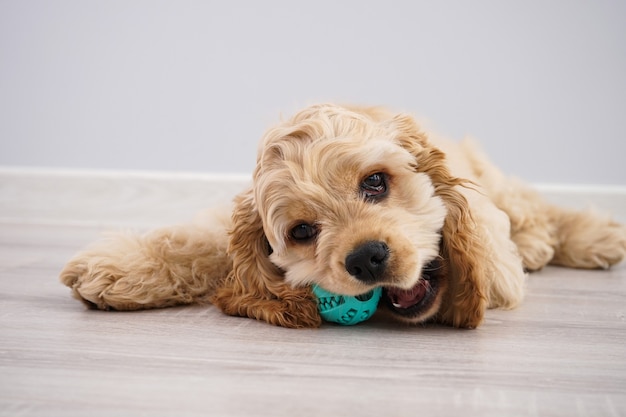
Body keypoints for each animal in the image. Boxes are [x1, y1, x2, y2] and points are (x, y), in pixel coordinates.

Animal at [59, 103, 624, 328]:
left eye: (375, 182)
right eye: (303, 231)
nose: (368, 257)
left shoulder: (491, 246)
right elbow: (204, 241)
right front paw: (119, 269)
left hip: (493, 175)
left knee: (532, 206)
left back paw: (588, 236)